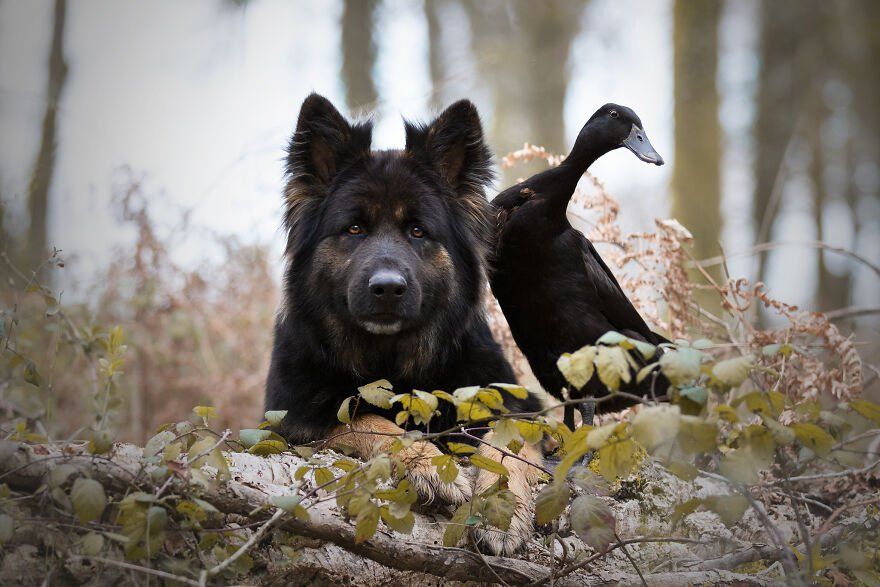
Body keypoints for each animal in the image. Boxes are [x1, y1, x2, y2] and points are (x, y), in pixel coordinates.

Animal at [264, 94, 544, 552]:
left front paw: (499, 508)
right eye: (354, 228)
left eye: (417, 231)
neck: (393, 360)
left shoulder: (521, 407)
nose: (388, 288)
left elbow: (508, 442)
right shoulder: (295, 420)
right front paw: (428, 465)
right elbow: (365, 420)